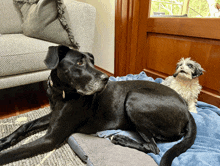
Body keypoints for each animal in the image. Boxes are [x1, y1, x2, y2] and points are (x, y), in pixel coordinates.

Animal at [0, 45, 196, 166]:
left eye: (92, 62)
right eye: (79, 62)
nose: (106, 78)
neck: (61, 92)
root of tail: (187, 110)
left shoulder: (51, 138)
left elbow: (15, 152)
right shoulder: (52, 116)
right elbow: (25, 125)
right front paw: (4, 140)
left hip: (134, 98)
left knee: (153, 147)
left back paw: (121, 139)